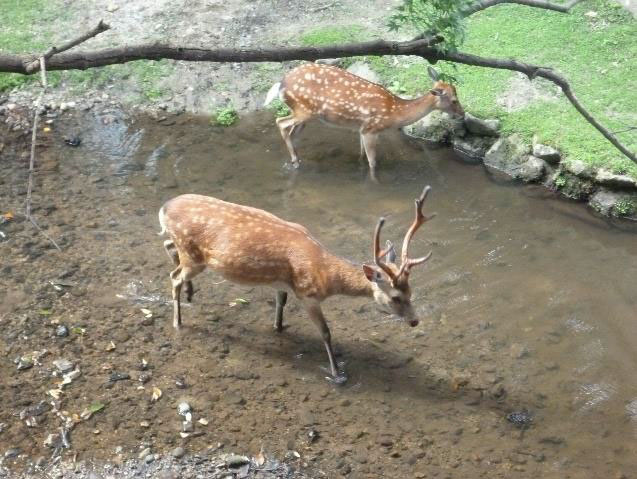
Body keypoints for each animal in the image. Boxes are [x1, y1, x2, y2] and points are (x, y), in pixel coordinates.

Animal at [158, 186, 436, 382]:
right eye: (395, 297)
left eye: (411, 291)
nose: (415, 321)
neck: (325, 275)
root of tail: (163, 207)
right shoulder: (307, 293)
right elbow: (326, 332)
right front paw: (337, 373)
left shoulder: (283, 284)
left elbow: (280, 304)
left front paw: (278, 328)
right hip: (194, 256)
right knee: (174, 276)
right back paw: (178, 321)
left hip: (186, 251)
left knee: (169, 248)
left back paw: (191, 293)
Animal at [264, 63, 464, 181]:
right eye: (454, 100)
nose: (462, 114)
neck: (394, 112)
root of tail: (280, 84)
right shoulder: (371, 128)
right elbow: (372, 162)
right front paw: (374, 180)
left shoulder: (361, 129)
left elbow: (361, 155)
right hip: (303, 110)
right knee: (280, 122)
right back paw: (295, 161)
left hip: (306, 115)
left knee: (292, 132)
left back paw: (296, 159)